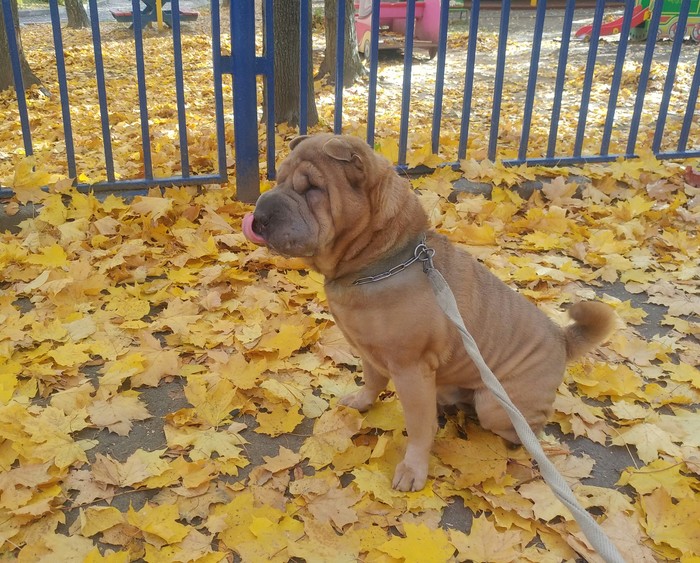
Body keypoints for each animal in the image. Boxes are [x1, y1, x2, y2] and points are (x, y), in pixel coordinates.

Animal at [243, 134, 616, 492]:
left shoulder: (411, 368)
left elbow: (420, 427)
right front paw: (361, 400)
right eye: (278, 179)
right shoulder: (368, 349)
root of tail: (562, 338)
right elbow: (373, 380)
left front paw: (413, 469)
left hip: (496, 404)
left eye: (312, 189)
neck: (381, 261)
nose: (259, 216)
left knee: (525, 427)